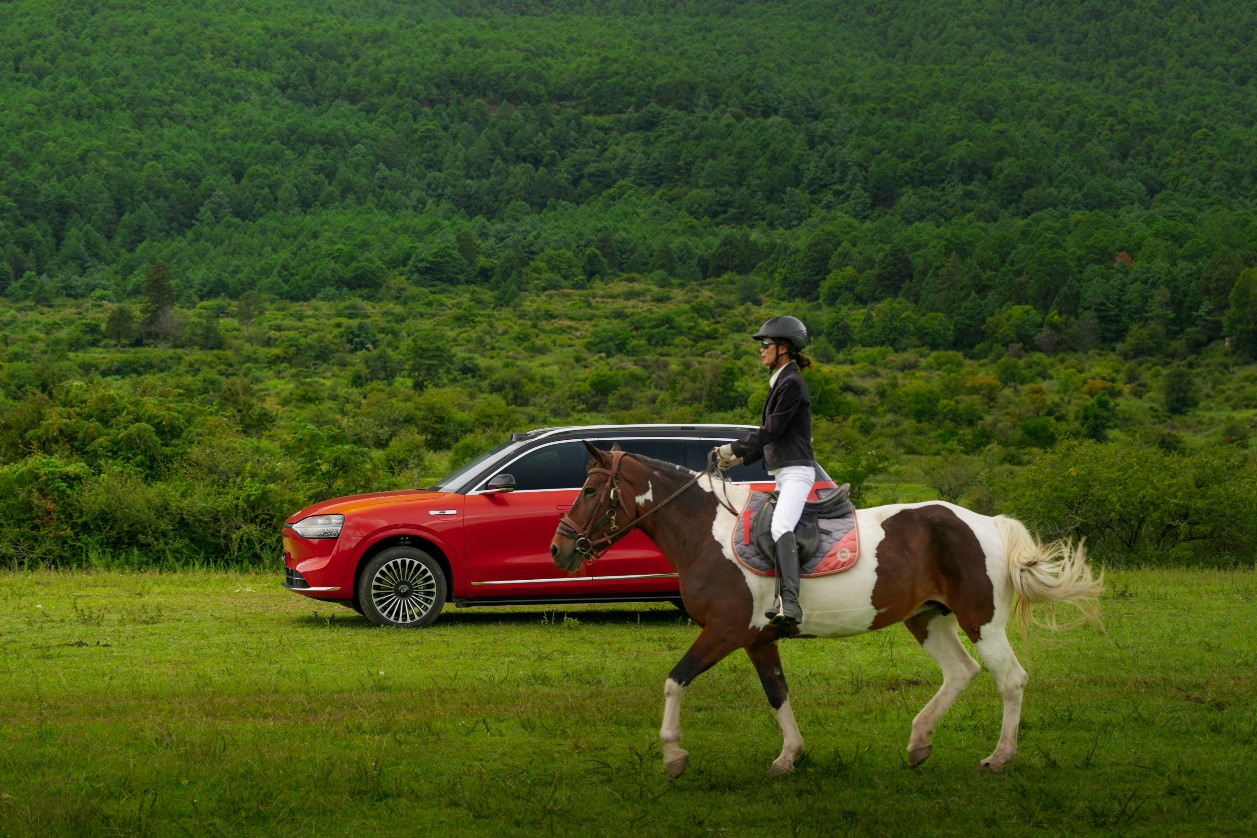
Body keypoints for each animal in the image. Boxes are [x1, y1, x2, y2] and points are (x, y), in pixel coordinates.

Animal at [550, 444, 1101, 778]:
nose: (560, 550)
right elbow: (777, 695)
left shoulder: (725, 631)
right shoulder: (758, 641)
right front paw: (789, 757)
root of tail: (986, 522)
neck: (706, 530)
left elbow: (674, 680)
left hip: (980, 620)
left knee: (1011, 679)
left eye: (591, 490)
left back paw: (999, 757)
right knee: (961, 671)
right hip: (927, 618)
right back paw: (919, 743)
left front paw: (674, 754)